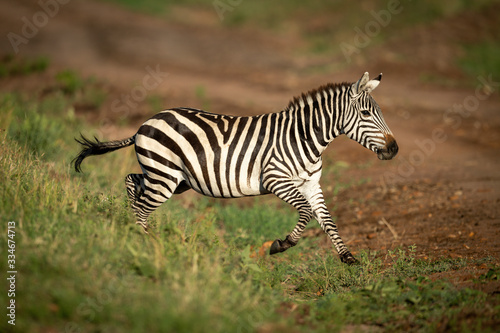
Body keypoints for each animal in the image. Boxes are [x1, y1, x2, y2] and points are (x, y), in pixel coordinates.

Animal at [72, 71, 398, 264]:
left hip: (173, 178)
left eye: (380, 112)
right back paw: (141, 242)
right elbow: (306, 213)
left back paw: (129, 229)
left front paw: (347, 257)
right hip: (164, 176)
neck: (305, 138)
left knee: (132, 182)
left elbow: (327, 220)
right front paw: (281, 245)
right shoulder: (276, 178)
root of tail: (146, 121)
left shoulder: (311, 183)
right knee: (142, 204)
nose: (394, 149)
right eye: (366, 113)